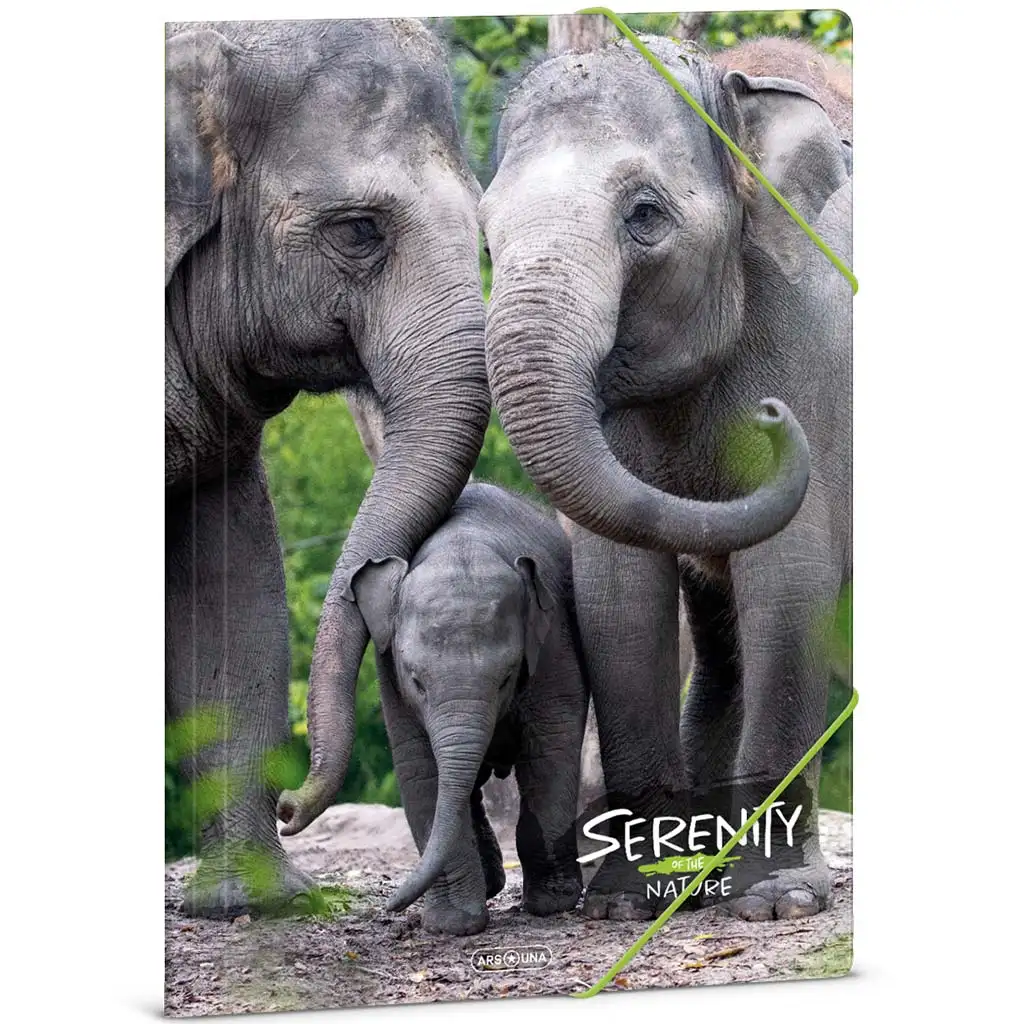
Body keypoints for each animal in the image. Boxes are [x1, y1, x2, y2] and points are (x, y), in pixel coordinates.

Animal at [315, 482, 588, 935]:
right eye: (416, 681)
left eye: (507, 677)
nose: (388, 906)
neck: (464, 543)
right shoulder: (389, 673)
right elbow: (421, 768)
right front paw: (452, 926)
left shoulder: (553, 643)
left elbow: (551, 744)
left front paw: (551, 904)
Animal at [479, 35, 851, 922]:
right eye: (487, 235)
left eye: (644, 215)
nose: (773, 420)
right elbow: (616, 598)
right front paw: (628, 903)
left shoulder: (814, 352)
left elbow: (789, 582)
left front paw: (779, 900)